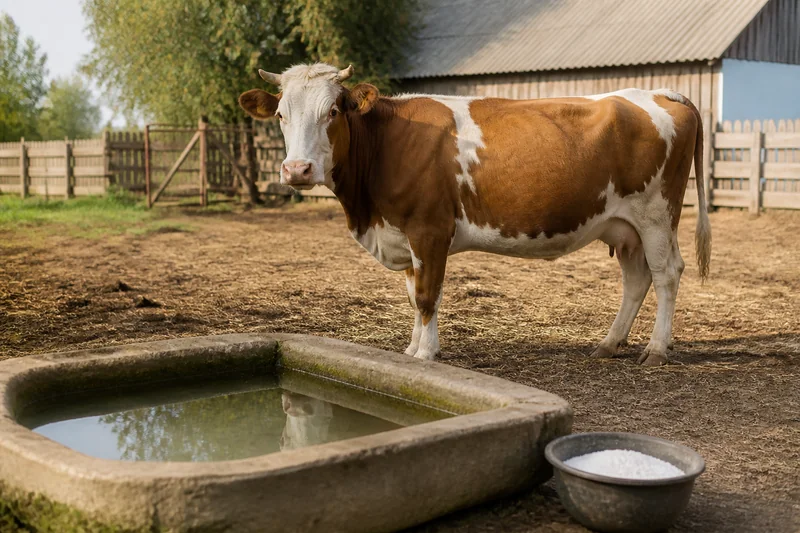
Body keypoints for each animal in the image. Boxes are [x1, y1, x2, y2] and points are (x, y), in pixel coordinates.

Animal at [239, 63, 711, 366]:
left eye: (333, 111)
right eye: (280, 114)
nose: (296, 169)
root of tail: (660, 93)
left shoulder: (429, 229)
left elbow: (428, 296)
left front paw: (426, 354)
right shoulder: (404, 234)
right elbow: (414, 294)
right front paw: (412, 349)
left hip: (656, 214)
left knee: (667, 273)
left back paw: (656, 349)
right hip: (624, 226)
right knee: (636, 279)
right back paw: (609, 344)